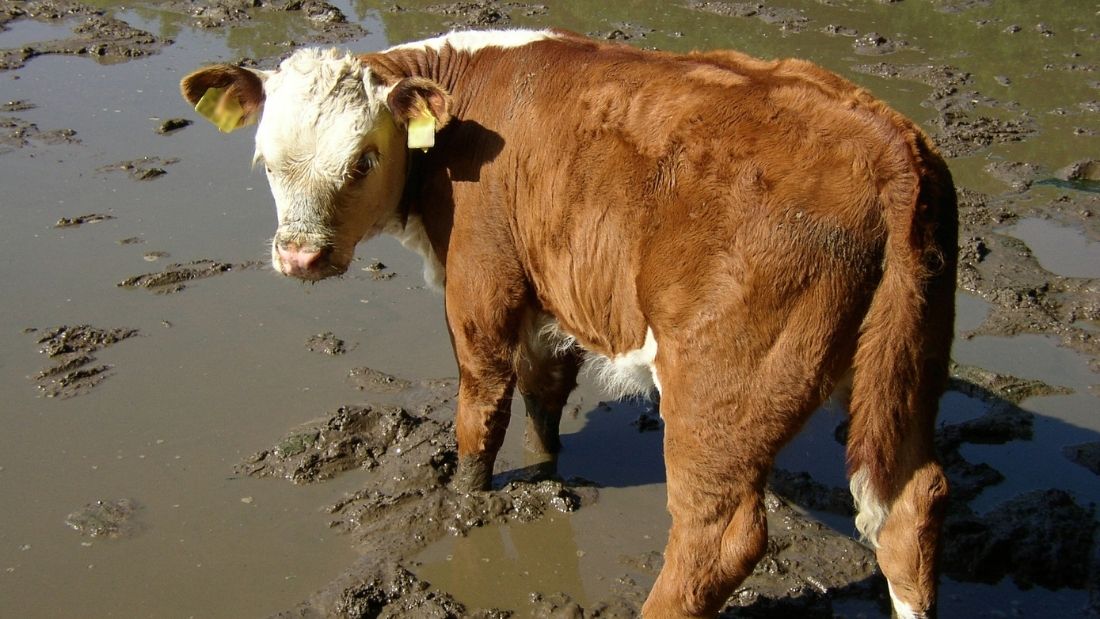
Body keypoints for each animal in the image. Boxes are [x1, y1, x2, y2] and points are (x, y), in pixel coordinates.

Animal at [181, 28, 957, 618]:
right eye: (266, 162)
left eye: (365, 157)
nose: (300, 256)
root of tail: (888, 143)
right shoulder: (551, 294)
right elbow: (544, 396)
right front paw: (548, 470)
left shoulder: (480, 283)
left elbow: (481, 408)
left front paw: (467, 495)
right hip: (904, 373)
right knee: (909, 508)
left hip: (720, 392)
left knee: (718, 538)